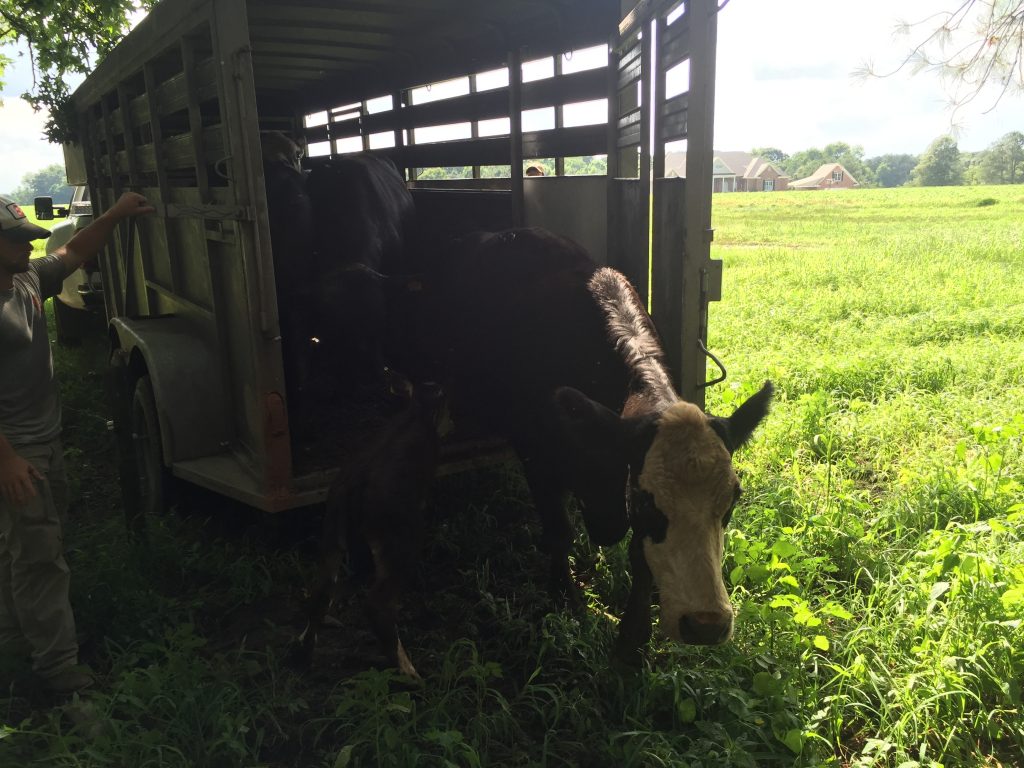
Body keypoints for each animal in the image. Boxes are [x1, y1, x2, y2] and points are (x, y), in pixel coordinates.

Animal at [421, 228, 770, 667]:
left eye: (733, 499)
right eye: (647, 500)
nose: (706, 625)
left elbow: (639, 554)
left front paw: (632, 638)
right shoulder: (536, 453)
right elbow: (560, 531)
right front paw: (565, 597)